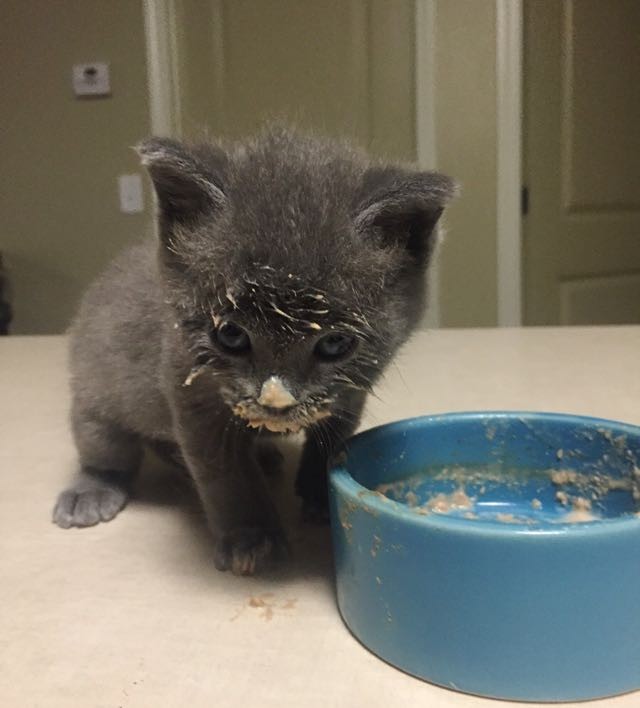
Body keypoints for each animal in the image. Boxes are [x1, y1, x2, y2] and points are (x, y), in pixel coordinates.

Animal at [53, 127, 456, 576]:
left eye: (334, 343)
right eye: (230, 335)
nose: (275, 400)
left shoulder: (351, 392)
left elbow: (330, 440)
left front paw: (318, 495)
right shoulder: (189, 395)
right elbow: (225, 474)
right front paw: (251, 538)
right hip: (95, 395)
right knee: (103, 444)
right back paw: (91, 491)